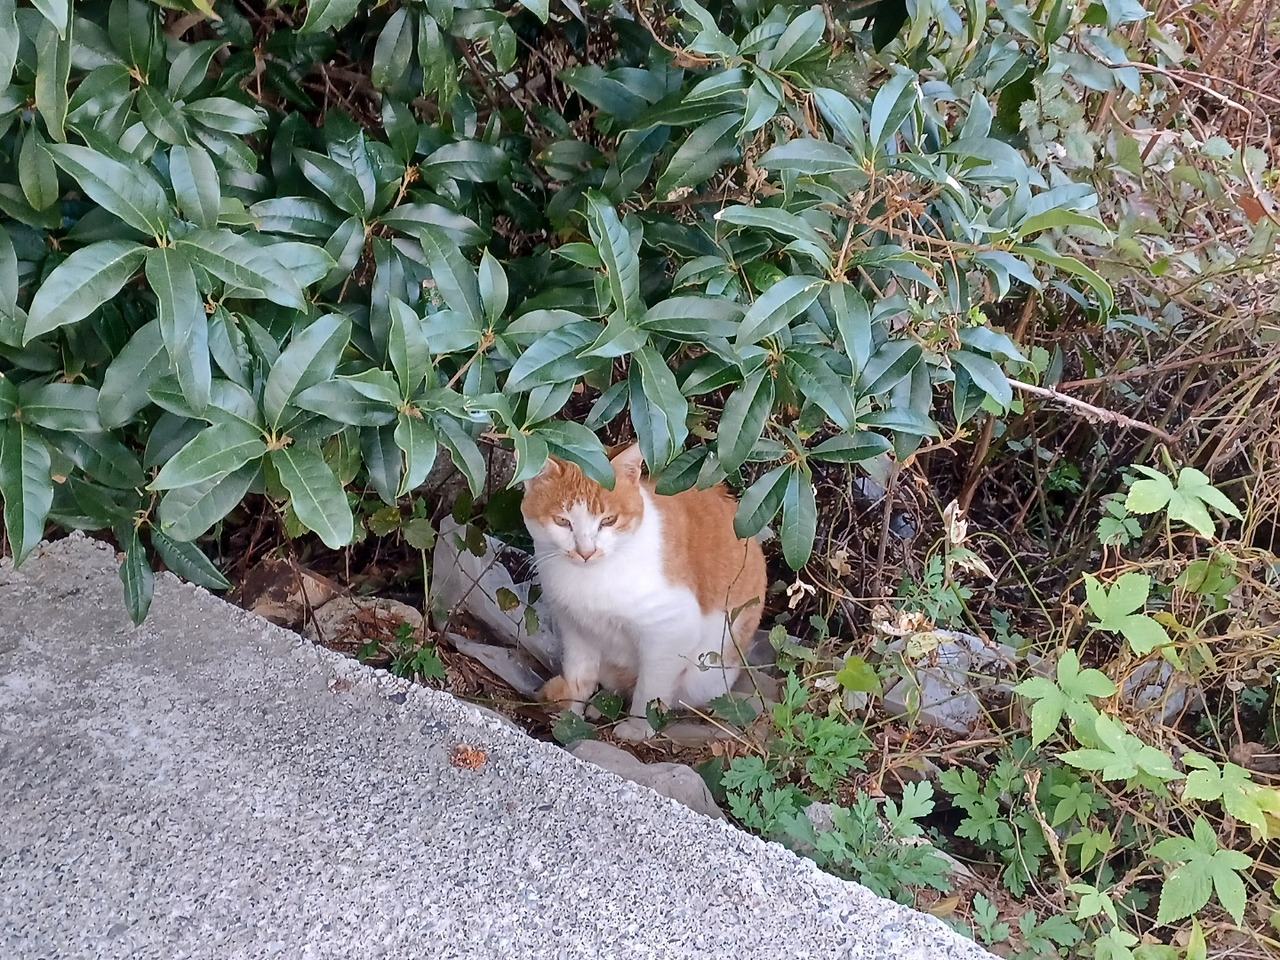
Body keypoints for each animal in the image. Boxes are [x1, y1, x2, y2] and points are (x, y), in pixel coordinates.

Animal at [521, 443, 767, 740]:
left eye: (608, 520)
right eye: (562, 521)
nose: (586, 552)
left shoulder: (670, 630)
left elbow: (651, 690)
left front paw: (638, 728)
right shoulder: (574, 628)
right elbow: (578, 677)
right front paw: (571, 717)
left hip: (704, 672)